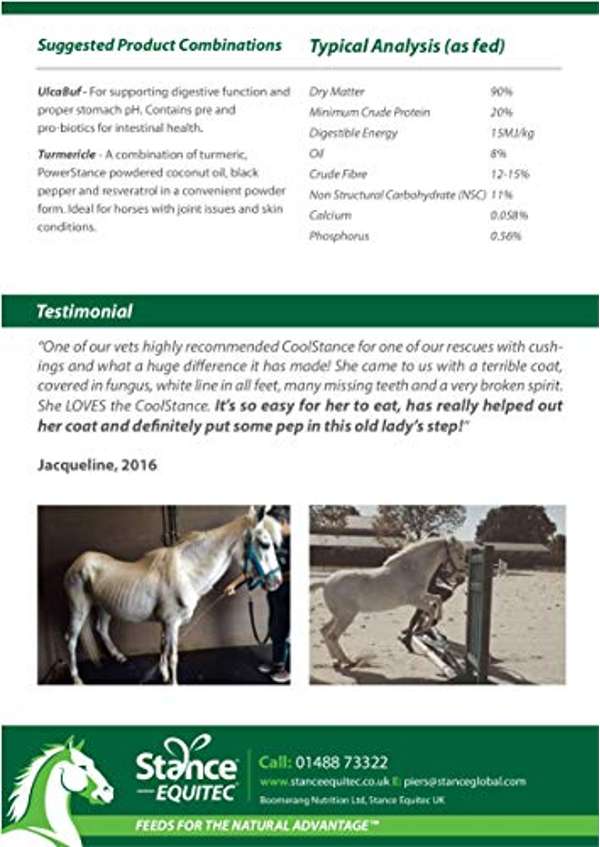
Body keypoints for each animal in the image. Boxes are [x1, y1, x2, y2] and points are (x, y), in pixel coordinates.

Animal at [63, 506, 283, 685]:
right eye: (265, 544)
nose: (277, 582)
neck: (186, 572)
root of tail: (76, 564)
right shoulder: (171, 623)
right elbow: (173, 656)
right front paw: (172, 681)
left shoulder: (165, 623)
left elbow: (163, 648)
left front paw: (164, 675)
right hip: (79, 609)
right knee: (71, 639)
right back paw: (76, 679)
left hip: (104, 607)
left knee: (101, 629)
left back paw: (119, 657)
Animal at [311, 536, 467, 668]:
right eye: (459, 555)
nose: (461, 578)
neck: (411, 569)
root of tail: (325, 583)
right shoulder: (414, 599)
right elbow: (430, 608)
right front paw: (425, 627)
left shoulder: (422, 595)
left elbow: (437, 599)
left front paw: (434, 621)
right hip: (346, 616)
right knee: (332, 636)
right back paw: (347, 661)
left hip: (338, 616)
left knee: (325, 631)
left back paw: (336, 661)